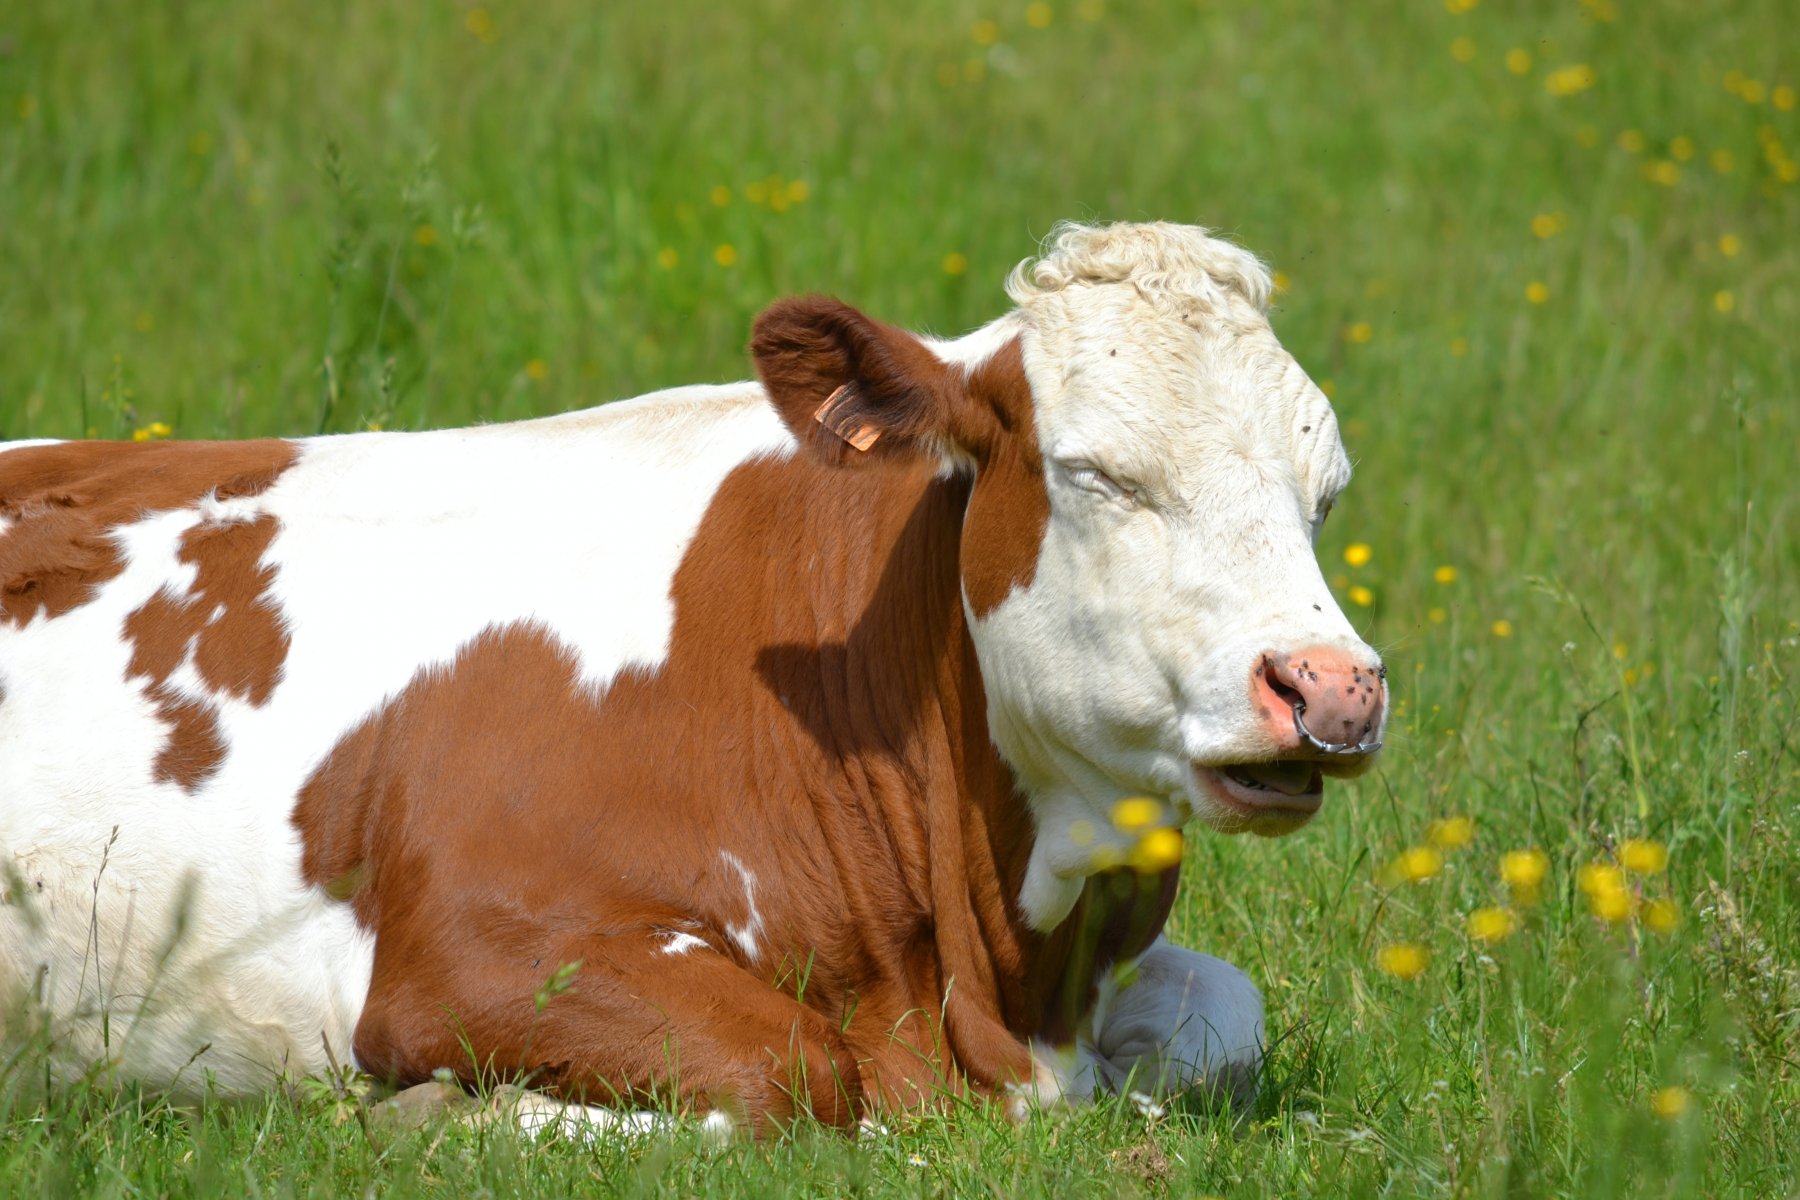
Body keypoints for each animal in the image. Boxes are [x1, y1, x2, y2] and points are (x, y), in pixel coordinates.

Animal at [0, 223, 1382, 1137]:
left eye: (1326, 490)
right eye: (1095, 472)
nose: (1331, 688)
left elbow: (1226, 1019)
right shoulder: (471, 947)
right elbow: (788, 1076)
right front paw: (447, 1114)